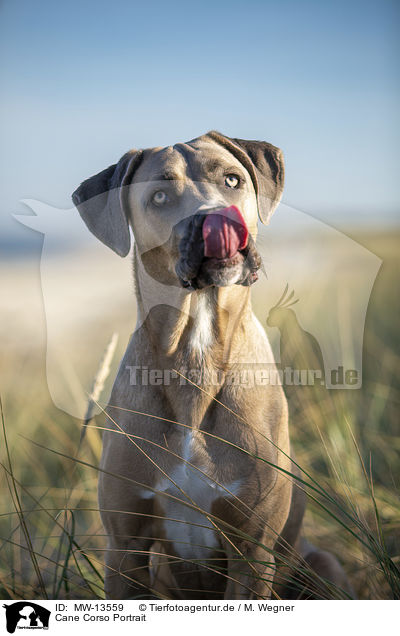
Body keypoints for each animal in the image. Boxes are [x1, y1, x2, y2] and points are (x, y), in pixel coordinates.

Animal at [72, 132, 354, 600]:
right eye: (160, 196)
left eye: (232, 179)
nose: (216, 217)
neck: (196, 350)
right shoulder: (125, 548)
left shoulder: (252, 551)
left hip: (324, 564)